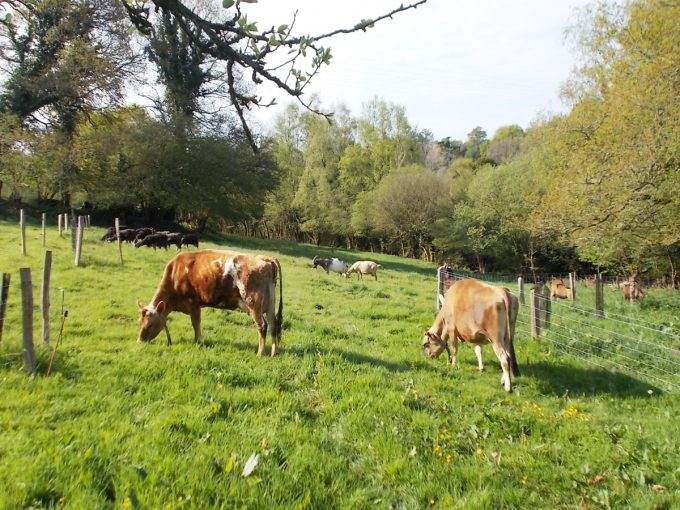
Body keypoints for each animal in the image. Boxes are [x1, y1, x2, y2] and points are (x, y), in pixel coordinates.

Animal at [137, 249, 283, 356]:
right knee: (273, 325)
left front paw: (198, 341)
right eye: (140, 323)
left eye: (150, 325)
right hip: (270, 304)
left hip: (253, 303)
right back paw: (273, 353)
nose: (139, 341)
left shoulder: (193, 302)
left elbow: (195, 323)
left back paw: (260, 353)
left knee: (262, 325)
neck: (175, 274)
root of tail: (265, 258)